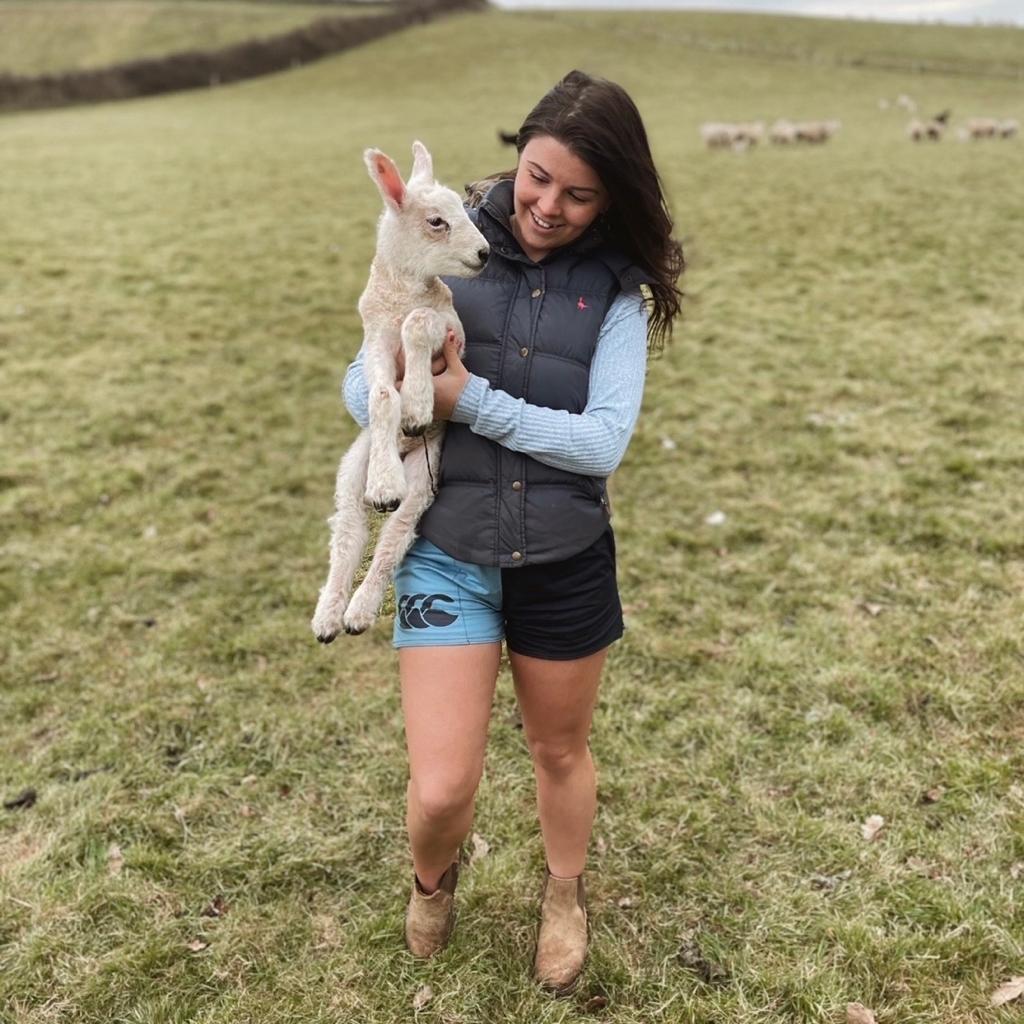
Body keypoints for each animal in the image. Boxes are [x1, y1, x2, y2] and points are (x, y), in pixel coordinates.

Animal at [309, 142, 489, 638]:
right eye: (437, 221)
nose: (485, 253)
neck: (402, 294)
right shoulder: (374, 341)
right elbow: (382, 395)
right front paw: (386, 475)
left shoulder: (451, 329)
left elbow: (419, 323)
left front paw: (418, 408)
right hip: (355, 465)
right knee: (349, 534)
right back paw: (329, 617)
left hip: (424, 479)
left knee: (394, 536)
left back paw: (357, 612)